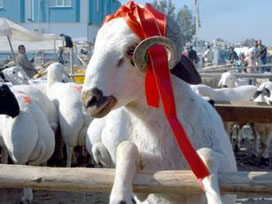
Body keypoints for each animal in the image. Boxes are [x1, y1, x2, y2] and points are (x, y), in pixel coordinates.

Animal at [81, 6, 236, 204]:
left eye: (131, 50)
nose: (89, 100)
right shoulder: (145, 188)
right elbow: (127, 148)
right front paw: (119, 195)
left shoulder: (229, 171)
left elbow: (206, 155)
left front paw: (214, 197)